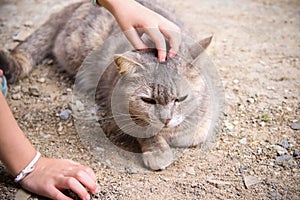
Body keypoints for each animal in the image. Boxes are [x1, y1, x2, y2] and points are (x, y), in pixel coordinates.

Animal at [0, 0, 220, 170]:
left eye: (181, 98)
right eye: (148, 100)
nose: (165, 120)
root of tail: (76, 4)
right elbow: (146, 132)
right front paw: (158, 150)